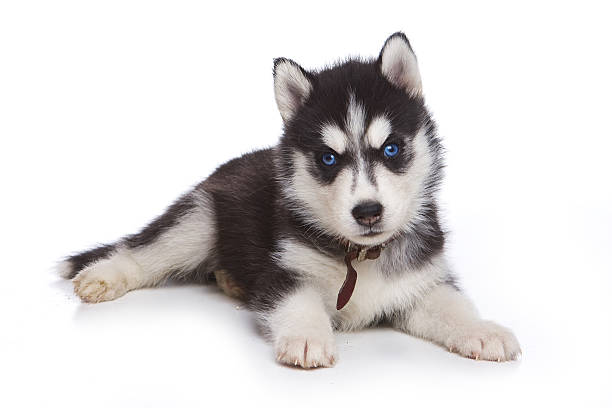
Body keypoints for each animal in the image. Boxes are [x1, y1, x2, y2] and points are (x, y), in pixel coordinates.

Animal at [59, 33, 520, 368]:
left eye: (391, 148)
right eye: (328, 158)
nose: (368, 212)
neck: (361, 255)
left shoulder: (420, 282)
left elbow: (452, 305)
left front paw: (483, 330)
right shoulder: (283, 271)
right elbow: (297, 302)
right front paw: (307, 337)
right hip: (199, 219)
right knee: (143, 251)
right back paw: (103, 276)